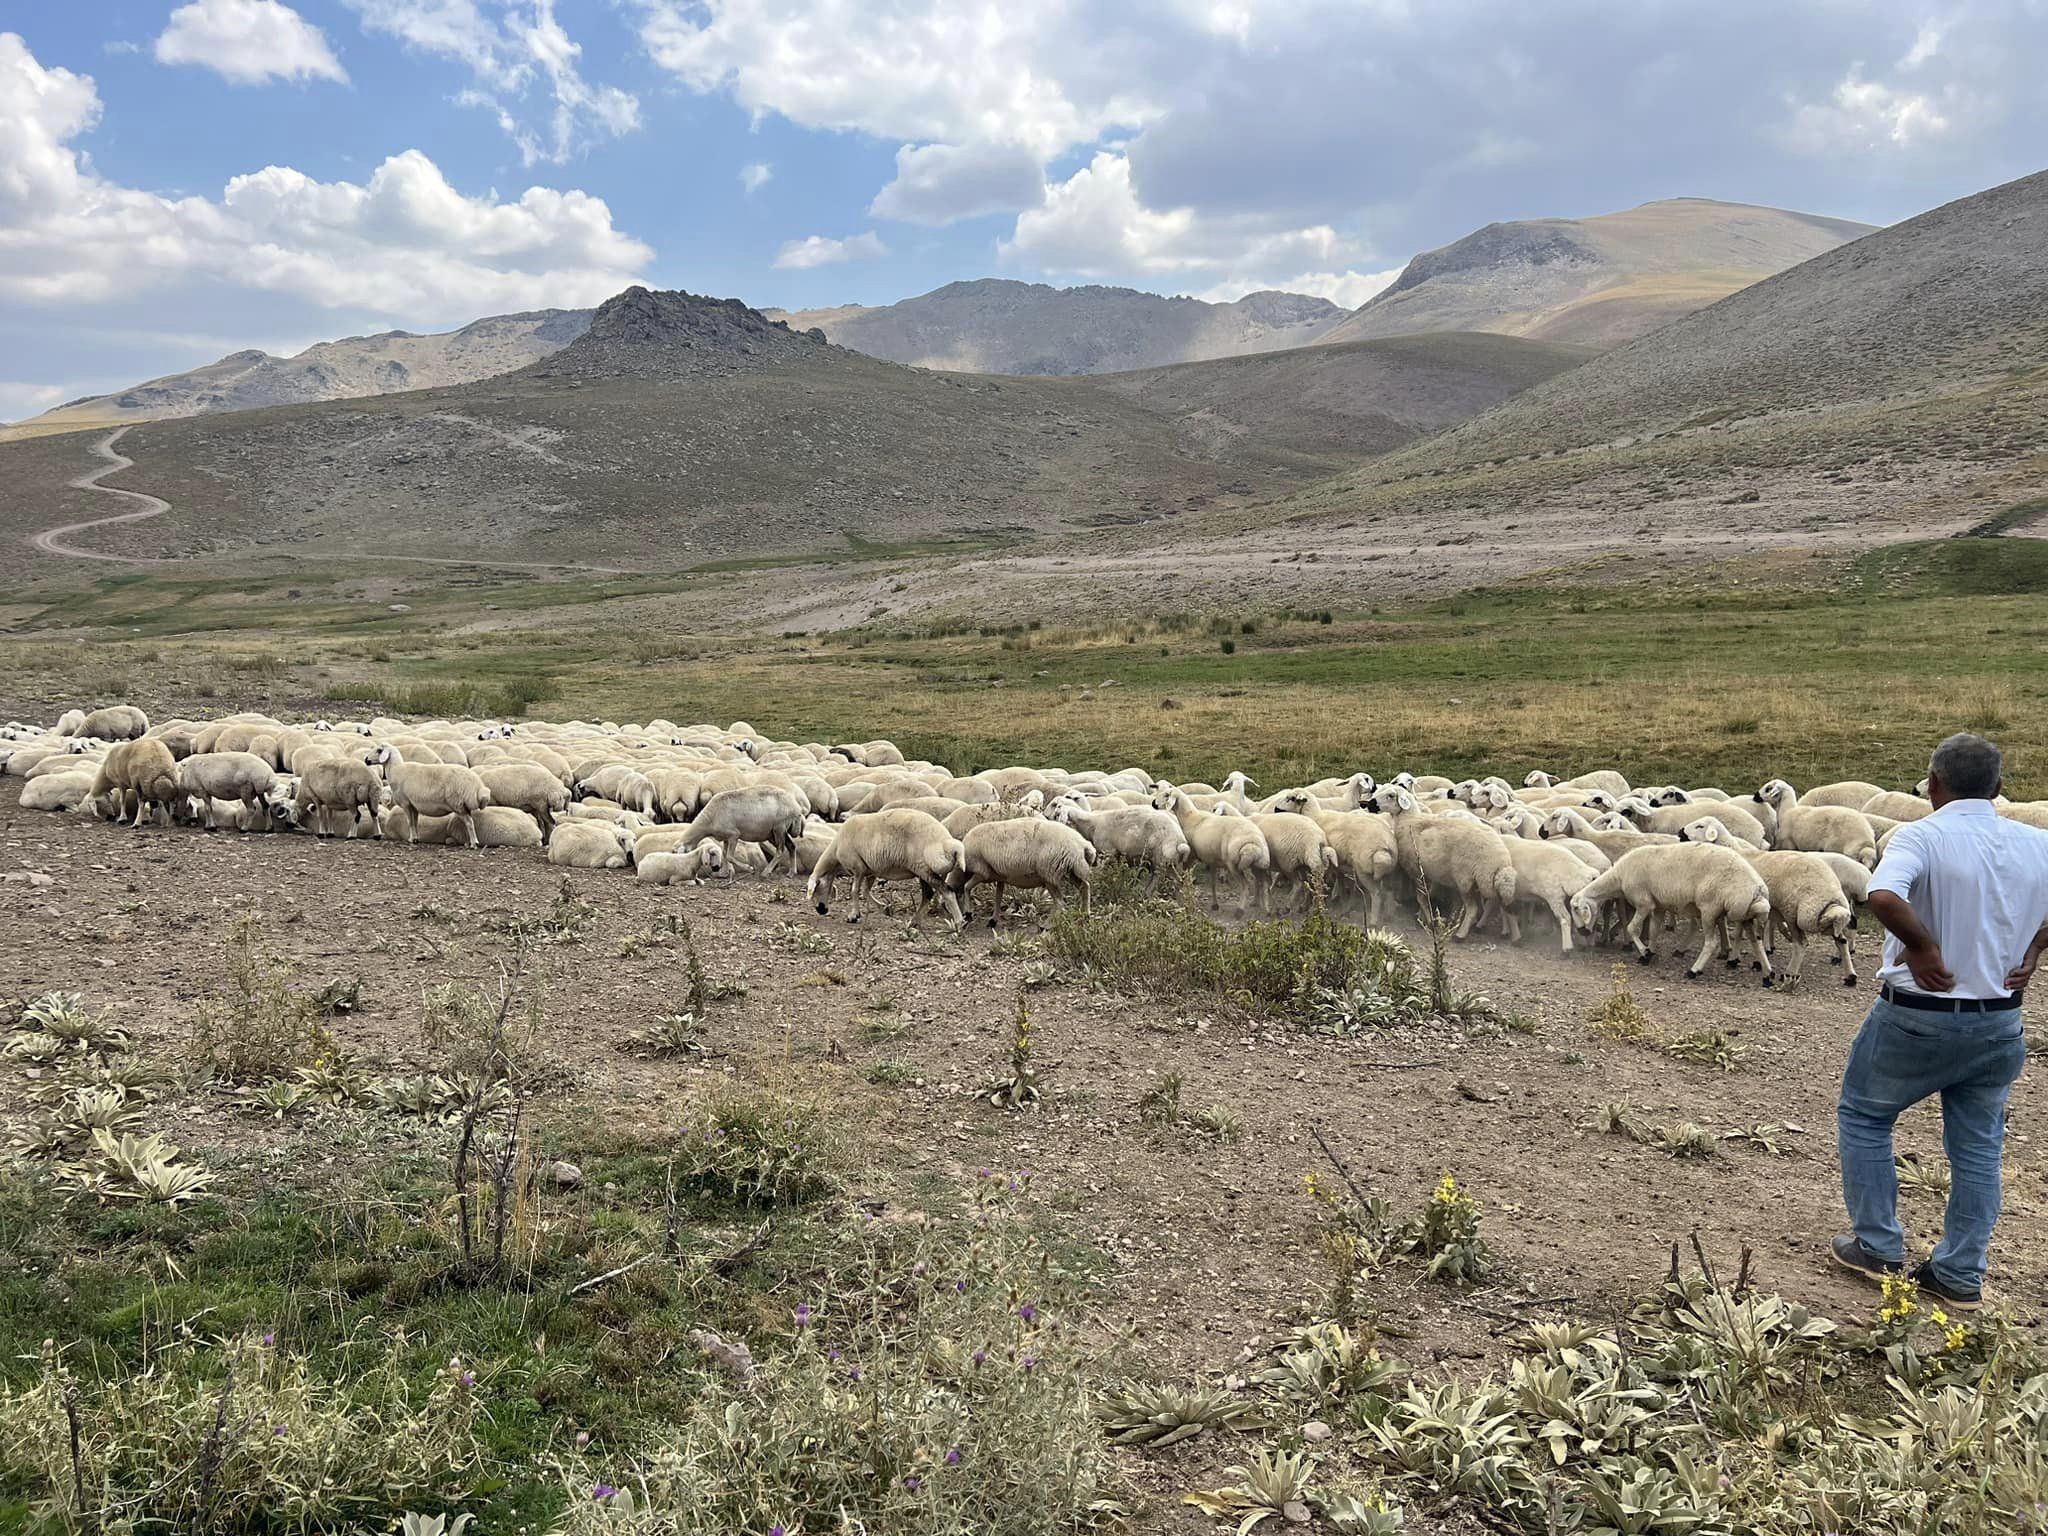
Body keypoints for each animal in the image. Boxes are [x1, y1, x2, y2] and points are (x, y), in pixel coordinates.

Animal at [806, 811, 966, 933]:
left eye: (815, 890)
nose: (821, 910)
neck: (835, 851)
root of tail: (945, 843)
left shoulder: (857, 868)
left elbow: (854, 891)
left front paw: (853, 916)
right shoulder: (870, 870)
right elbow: (865, 891)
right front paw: (885, 908)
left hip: (925, 869)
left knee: (947, 892)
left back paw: (959, 924)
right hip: (923, 870)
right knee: (927, 895)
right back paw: (914, 922)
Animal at [1048, 798, 1196, 897]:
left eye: (1057, 811)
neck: (1090, 824)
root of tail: (1180, 840)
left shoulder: (1107, 852)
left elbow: (1098, 871)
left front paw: (1096, 884)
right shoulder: (1115, 855)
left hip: (1161, 857)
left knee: (1158, 877)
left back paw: (1148, 894)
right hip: (1169, 862)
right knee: (1178, 879)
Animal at [1359, 794, 1523, 937]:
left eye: (1391, 795)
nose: (1368, 804)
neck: (1409, 820)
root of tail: (1500, 860)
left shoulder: (1416, 871)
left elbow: (1422, 898)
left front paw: (1429, 920)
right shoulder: (1429, 874)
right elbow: (1427, 895)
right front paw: (1424, 916)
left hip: (1465, 879)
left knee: (1473, 909)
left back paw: (1461, 933)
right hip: (1486, 882)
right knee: (1499, 904)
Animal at [1572, 847, 1769, 978]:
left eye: (1575, 908)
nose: (1582, 931)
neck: (1618, 877)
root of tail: (1757, 888)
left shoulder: (1643, 902)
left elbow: (1632, 928)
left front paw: (1644, 953)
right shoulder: (1658, 906)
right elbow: (1653, 931)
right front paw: (1650, 953)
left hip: (1710, 908)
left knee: (1711, 943)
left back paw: (1693, 970)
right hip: (1746, 915)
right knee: (1756, 941)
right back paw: (1767, 975)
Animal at [1679, 823, 1859, 991]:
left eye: (1700, 826)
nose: (1680, 832)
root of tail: (1832, 891)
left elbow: (1742, 932)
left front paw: (1736, 958)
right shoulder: (1745, 908)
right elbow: (1742, 932)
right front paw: (1738, 959)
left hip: (1794, 912)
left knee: (1801, 944)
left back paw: (1789, 974)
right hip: (1829, 918)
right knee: (1841, 940)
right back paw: (1850, 976)